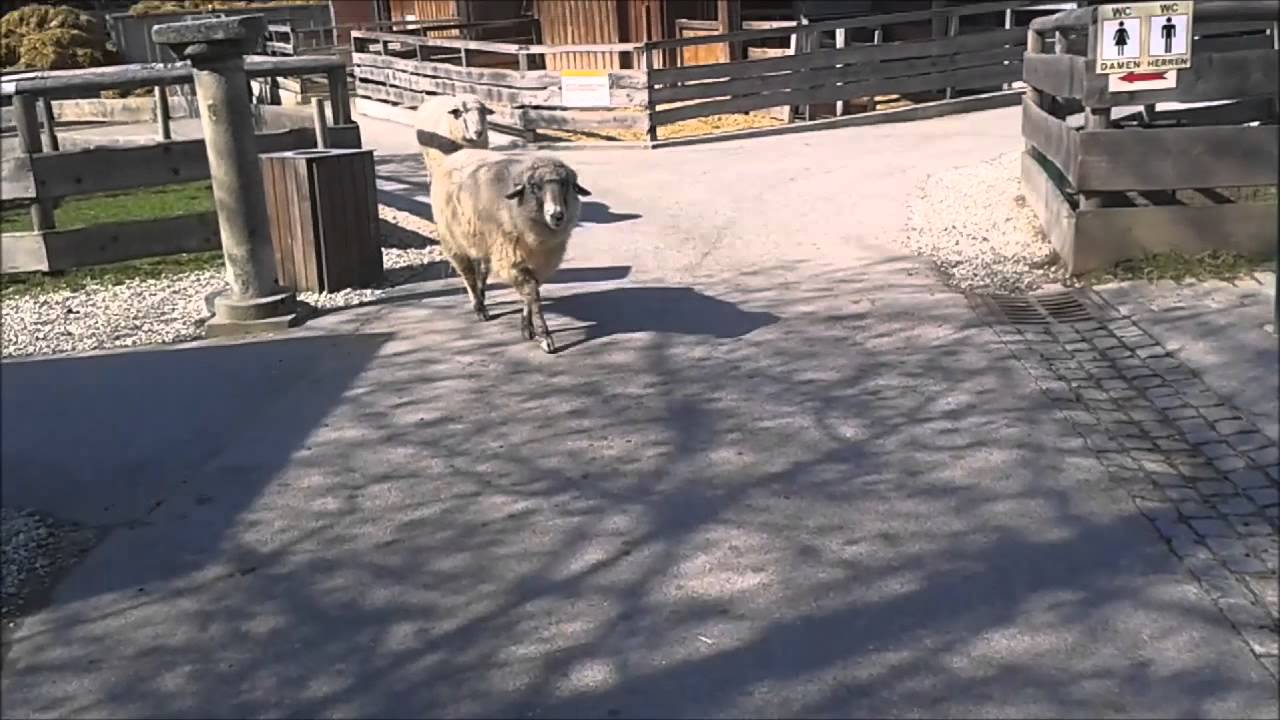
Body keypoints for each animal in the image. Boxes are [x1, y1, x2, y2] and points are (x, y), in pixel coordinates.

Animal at [431, 148, 592, 354]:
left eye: (565, 184)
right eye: (534, 186)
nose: (557, 215)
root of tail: (455, 154)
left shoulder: (538, 263)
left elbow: (530, 293)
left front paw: (527, 328)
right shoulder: (512, 261)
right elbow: (532, 293)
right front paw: (544, 336)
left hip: (484, 242)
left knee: (483, 270)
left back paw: (482, 296)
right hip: (453, 240)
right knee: (468, 274)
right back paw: (479, 307)